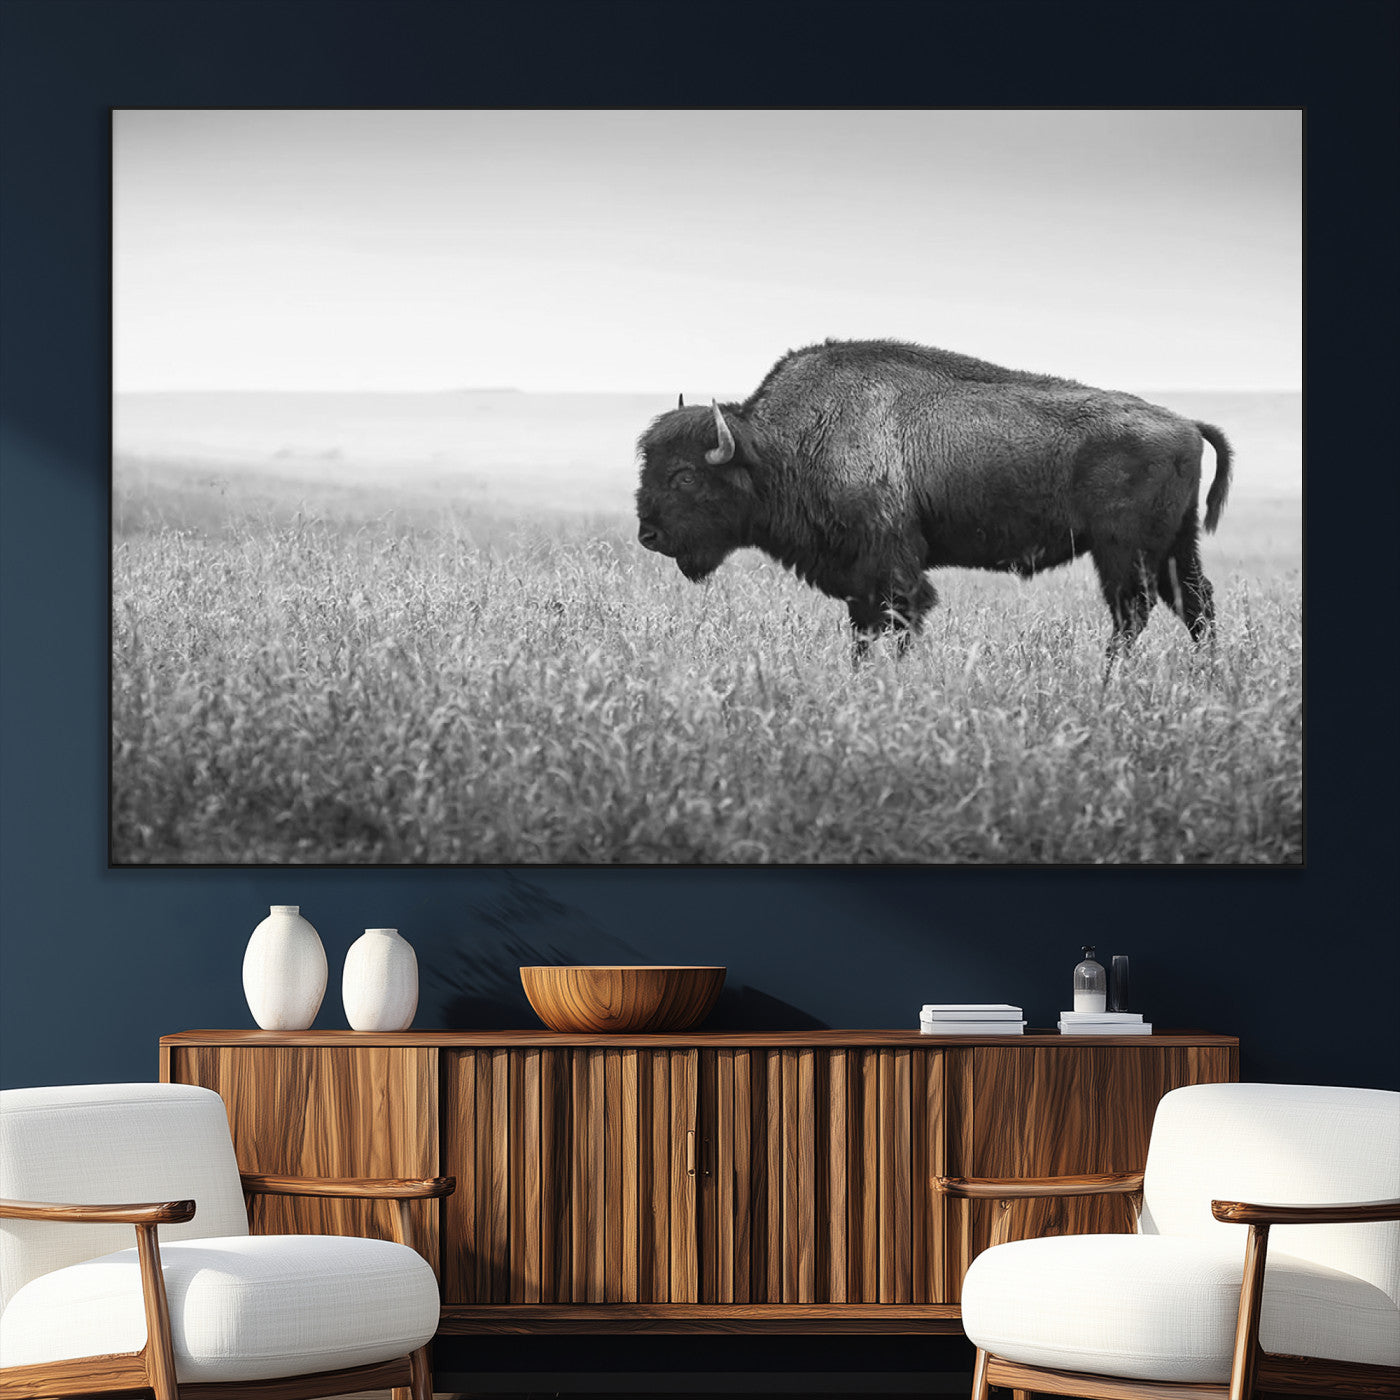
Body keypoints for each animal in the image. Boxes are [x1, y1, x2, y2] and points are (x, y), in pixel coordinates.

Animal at [635, 338, 1232, 658]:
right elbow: (864, 629)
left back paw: (1110, 679)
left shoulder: (892, 566)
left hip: (1123, 551)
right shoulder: (859, 577)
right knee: (1195, 605)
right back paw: (1204, 675)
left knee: (1134, 613)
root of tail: (1186, 423)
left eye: (685, 476)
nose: (648, 535)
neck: (780, 446)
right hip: (1175, 546)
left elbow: (899, 620)